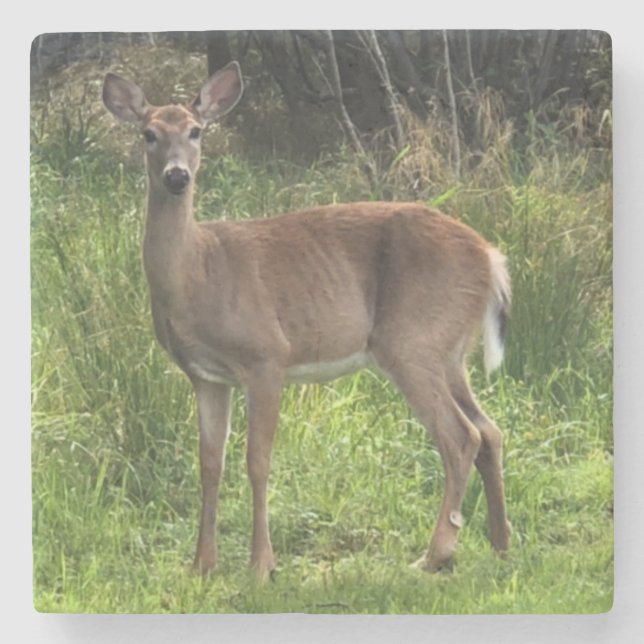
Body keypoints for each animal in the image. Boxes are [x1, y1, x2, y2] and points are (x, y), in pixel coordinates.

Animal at [102, 61, 512, 581]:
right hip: (450, 350)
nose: (177, 176)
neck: (199, 272)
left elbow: (257, 460)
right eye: (148, 134)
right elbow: (210, 463)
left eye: (197, 131)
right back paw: (501, 544)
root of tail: (491, 258)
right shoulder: (206, 376)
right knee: (490, 431)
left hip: (412, 340)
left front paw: (261, 566)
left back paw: (435, 555)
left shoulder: (266, 356)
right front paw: (201, 565)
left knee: (461, 437)